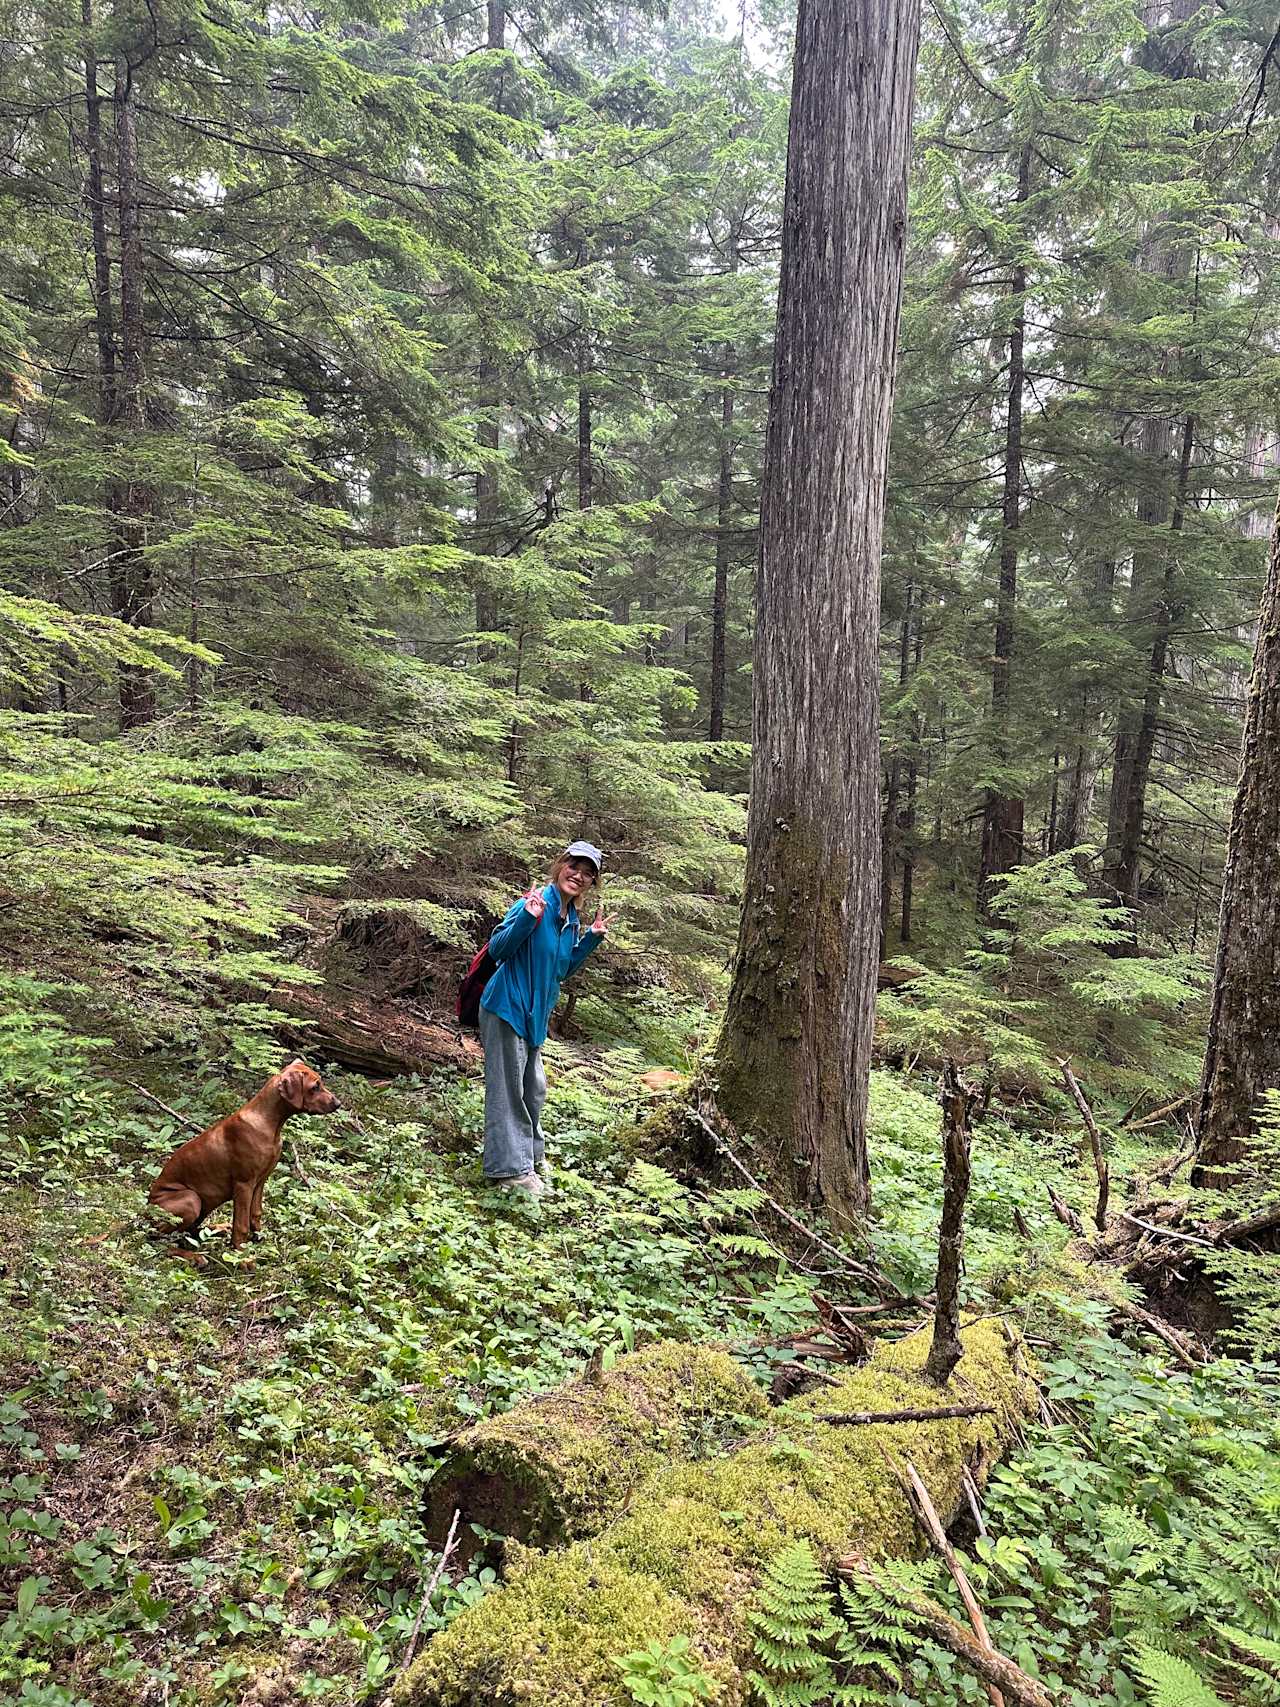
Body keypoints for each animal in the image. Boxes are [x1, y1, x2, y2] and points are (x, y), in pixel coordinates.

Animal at [149, 1051, 341, 1256]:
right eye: (315, 1087)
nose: (338, 1103)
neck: (269, 1124)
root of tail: (146, 1209)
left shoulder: (261, 1180)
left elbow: (255, 1214)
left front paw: (259, 1241)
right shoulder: (244, 1184)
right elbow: (241, 1225)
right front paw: (242, 1256)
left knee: (189, 1232)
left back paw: (217, 1229)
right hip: (191, 1199)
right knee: (160, 1240)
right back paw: (194, 1256)